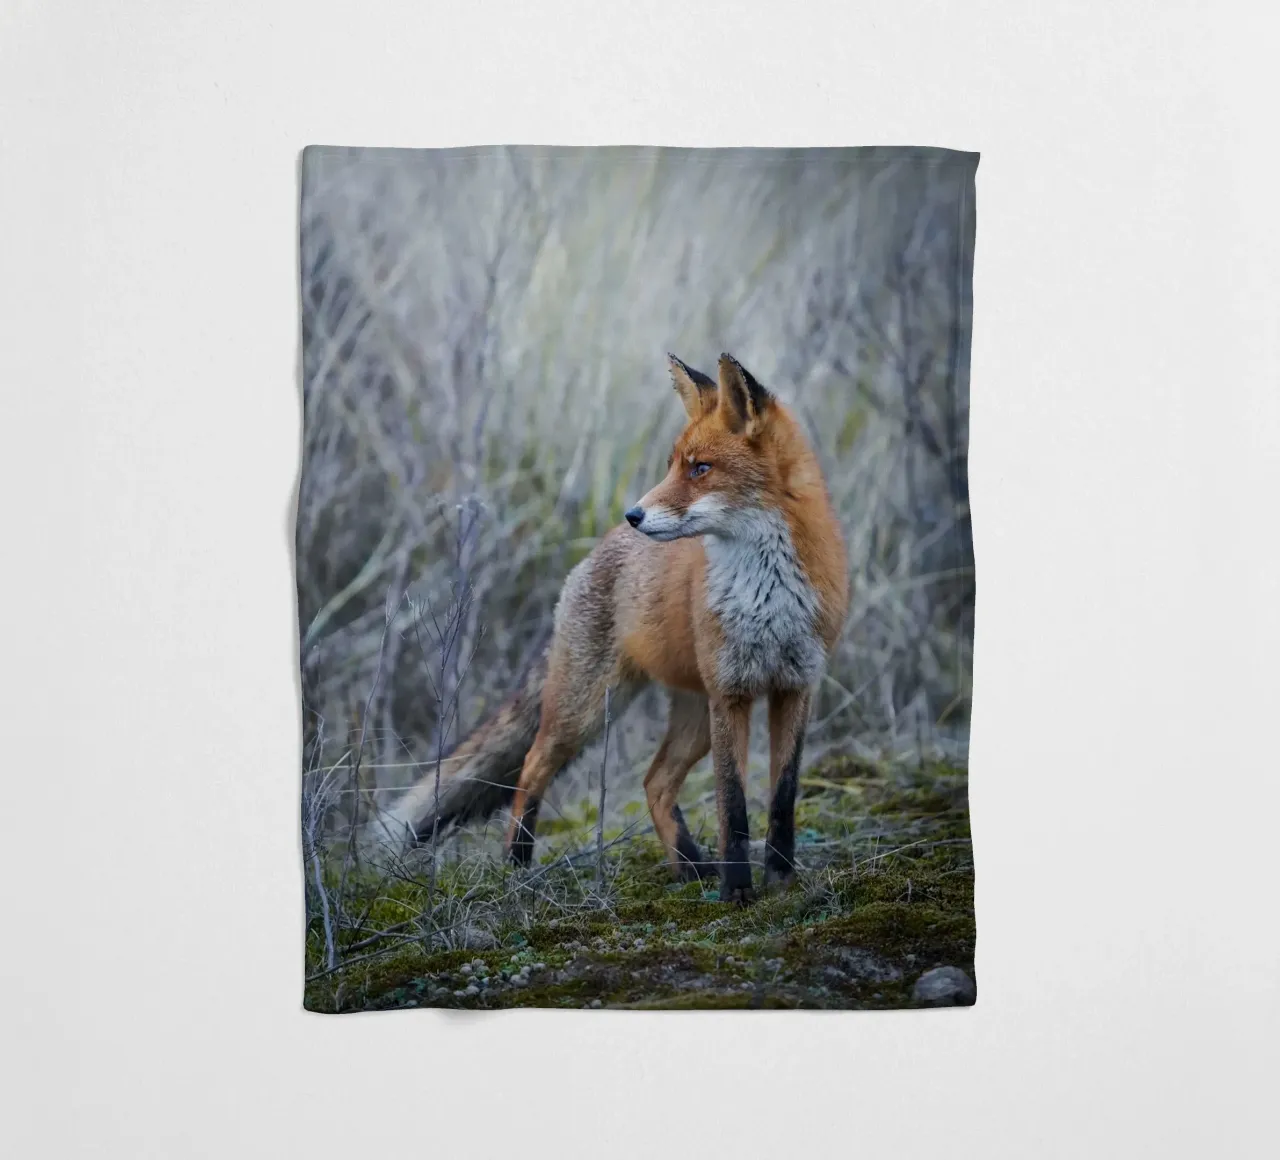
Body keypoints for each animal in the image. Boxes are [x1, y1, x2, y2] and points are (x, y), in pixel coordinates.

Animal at [386, 353, 849, 903]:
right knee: (532, 766)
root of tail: (596, 551)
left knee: (654, 782)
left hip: (693, 717)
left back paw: (690, 867)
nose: (634, 514)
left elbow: (781, 798)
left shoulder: (795, 686)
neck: (767, 593)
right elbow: (733, 808)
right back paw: (517, 864)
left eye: (701, 468)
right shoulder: (731, 693)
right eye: (673, 464)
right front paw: (737, 892)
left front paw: (781, 881)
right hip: (588, 709)